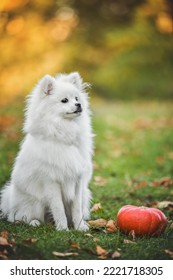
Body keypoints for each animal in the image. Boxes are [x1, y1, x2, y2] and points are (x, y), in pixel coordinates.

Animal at [0, 73, 93, 231]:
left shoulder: (77, 180)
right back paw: (34, 222)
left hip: (84, 194)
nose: (79, 105)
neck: (64, 132)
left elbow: (76, 209)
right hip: (35, 203)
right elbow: (58, 208)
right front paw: (63, 230)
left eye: (76, 98)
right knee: (19, 218)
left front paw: (80, 227)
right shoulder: (51, 181)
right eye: (64, 100)